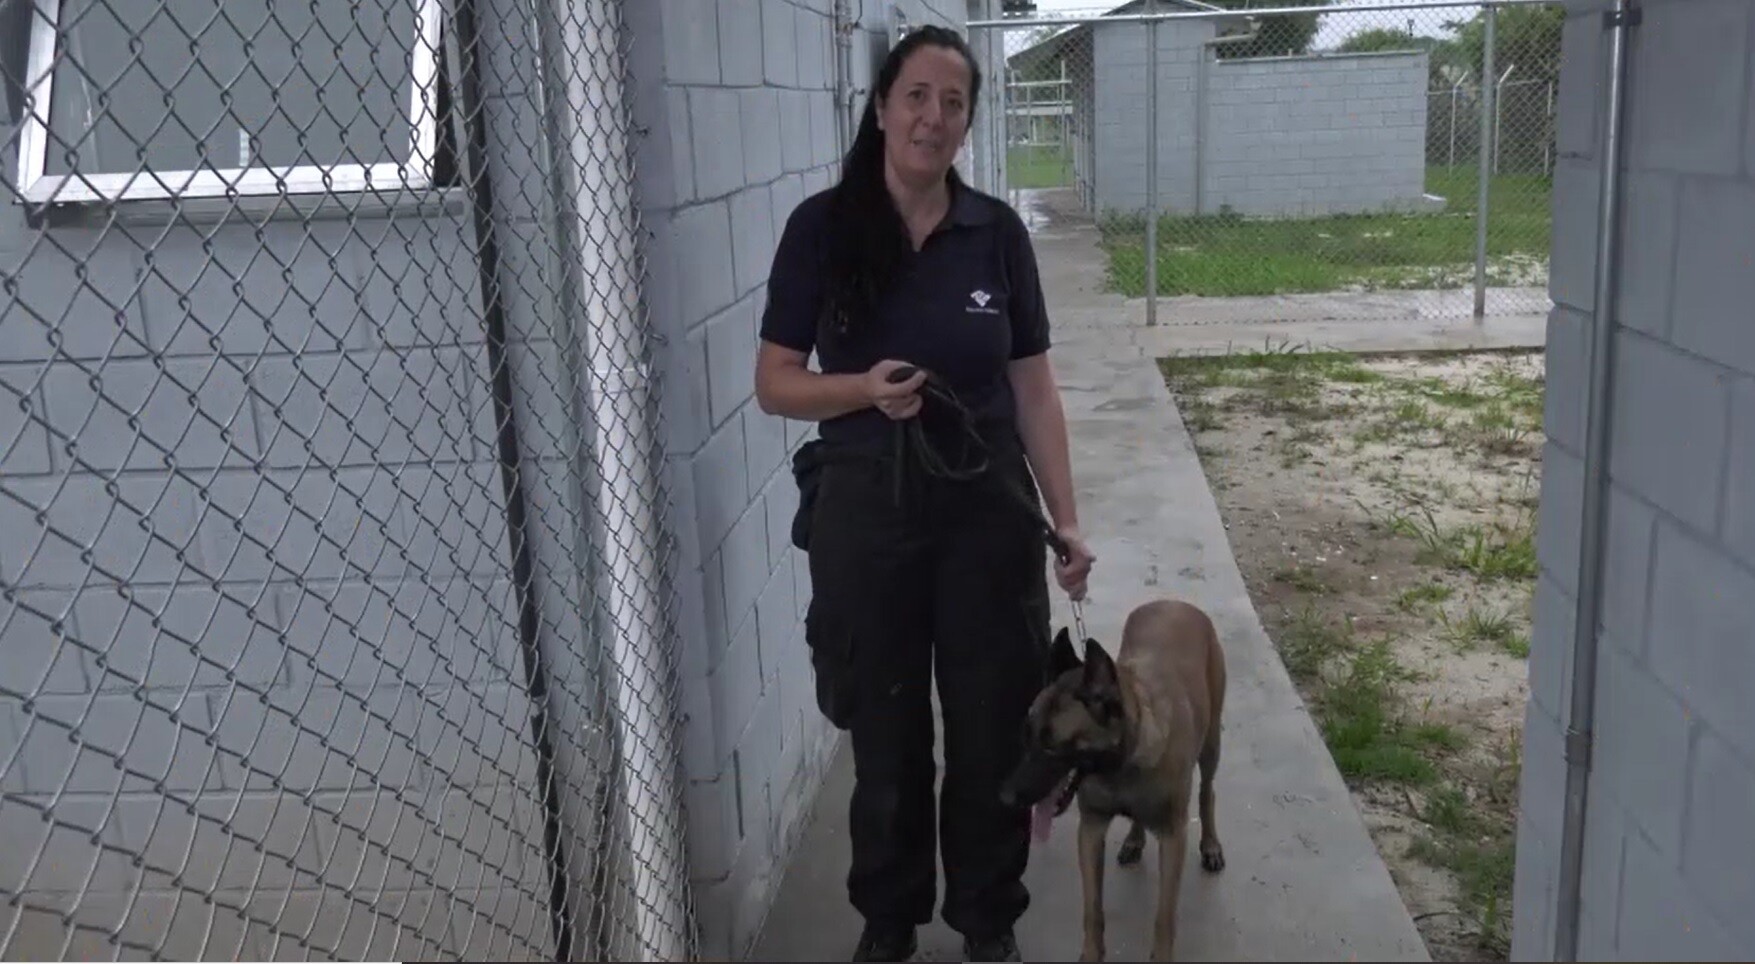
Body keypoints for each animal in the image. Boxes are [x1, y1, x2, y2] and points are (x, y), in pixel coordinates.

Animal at [996, 597, 1228, 955]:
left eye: (1052, 747)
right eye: (1027, 736)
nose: (1005, 798)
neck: (1120, 768)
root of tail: (1175, 602)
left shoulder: (1173, 838)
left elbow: (1164, 919)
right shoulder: (1091, 831)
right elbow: (1093, 912)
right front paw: (1090, 955)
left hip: (1211, 743)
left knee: (1207, 791)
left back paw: (1211, 844)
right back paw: (1134, 838)